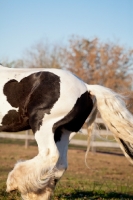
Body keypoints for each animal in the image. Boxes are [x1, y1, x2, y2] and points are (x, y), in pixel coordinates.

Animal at [0, 65, 133, 199]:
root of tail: (86, 88)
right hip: (64, 131)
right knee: (60, 164)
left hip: (42, 124)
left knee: (50, 154)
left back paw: (14, 183)